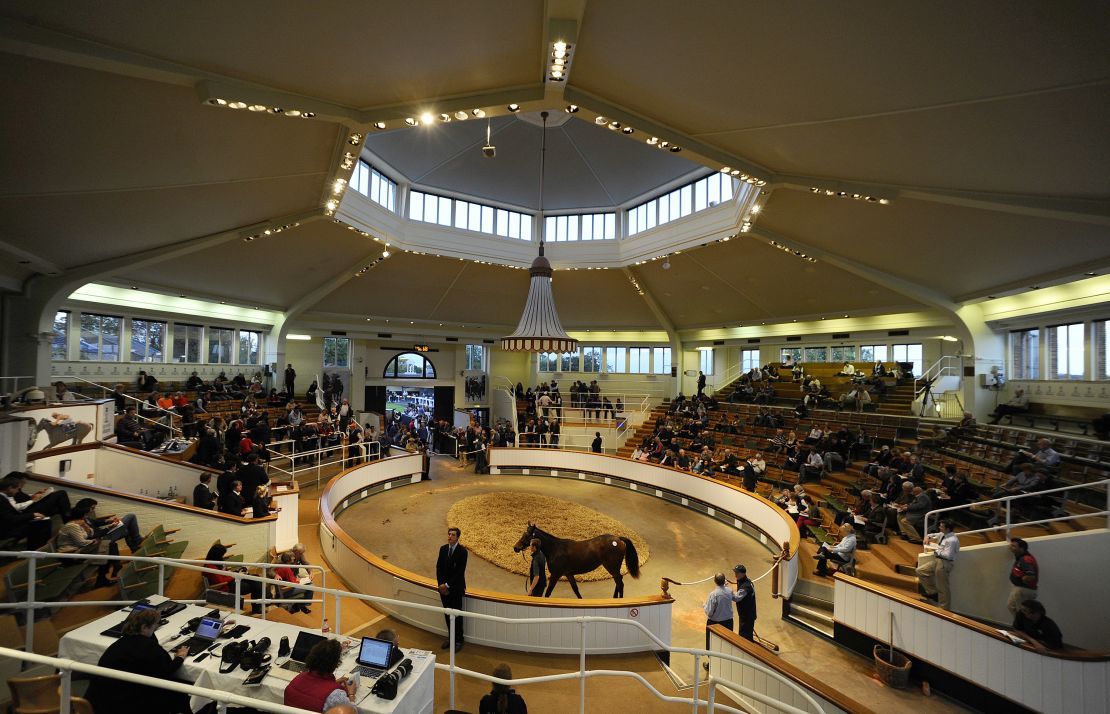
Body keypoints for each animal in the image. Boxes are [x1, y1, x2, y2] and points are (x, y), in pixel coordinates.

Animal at [512, 521, 643, 599]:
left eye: (527, 535)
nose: (515, 547)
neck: (555, 549)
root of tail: (618, 539)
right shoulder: (569, 574)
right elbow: (576, 590)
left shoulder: (555, 575)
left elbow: (548, 592)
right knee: (618, 581)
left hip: (612, 567)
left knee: (620, 582)